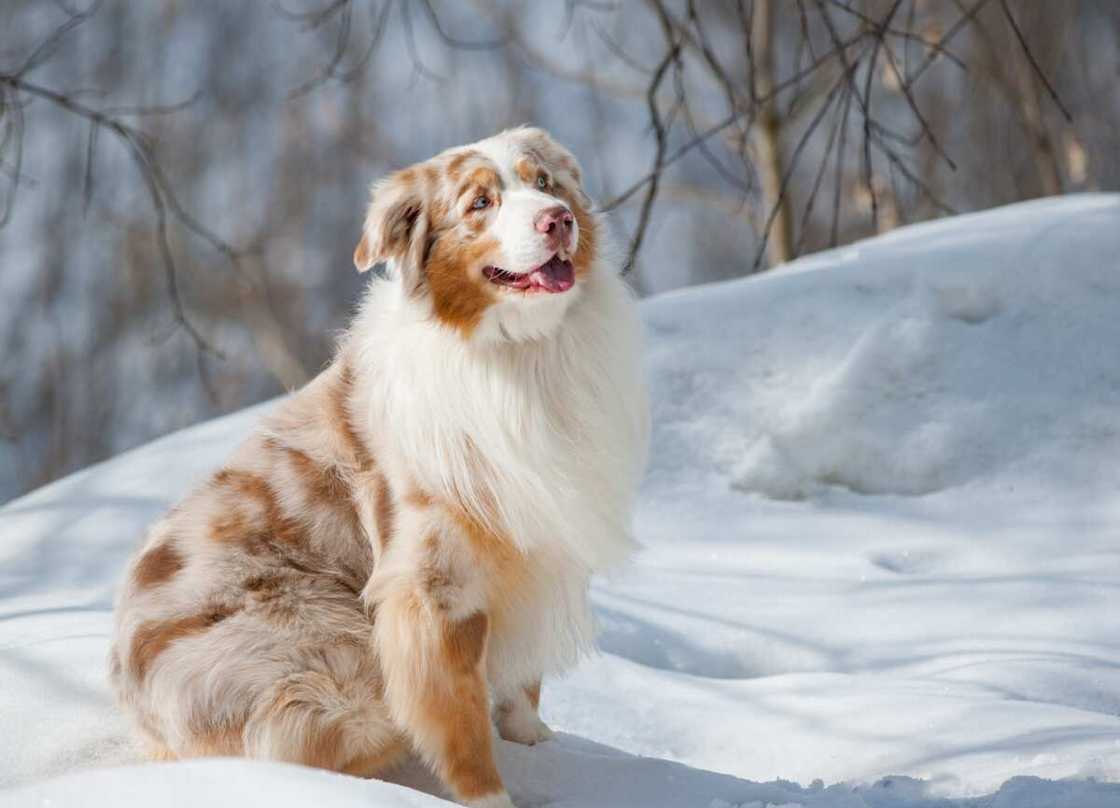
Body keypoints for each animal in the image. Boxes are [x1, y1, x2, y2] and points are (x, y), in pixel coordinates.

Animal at [109, 127, 654, 806]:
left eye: (546, 183)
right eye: (480, 203)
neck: (517, 352)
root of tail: (136, 714)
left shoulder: (537, 545)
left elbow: (524, 684)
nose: (557, 220)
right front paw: (492, 794)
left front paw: (540, 744)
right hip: (335, 653)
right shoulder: (433, 584)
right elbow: (457, 714)